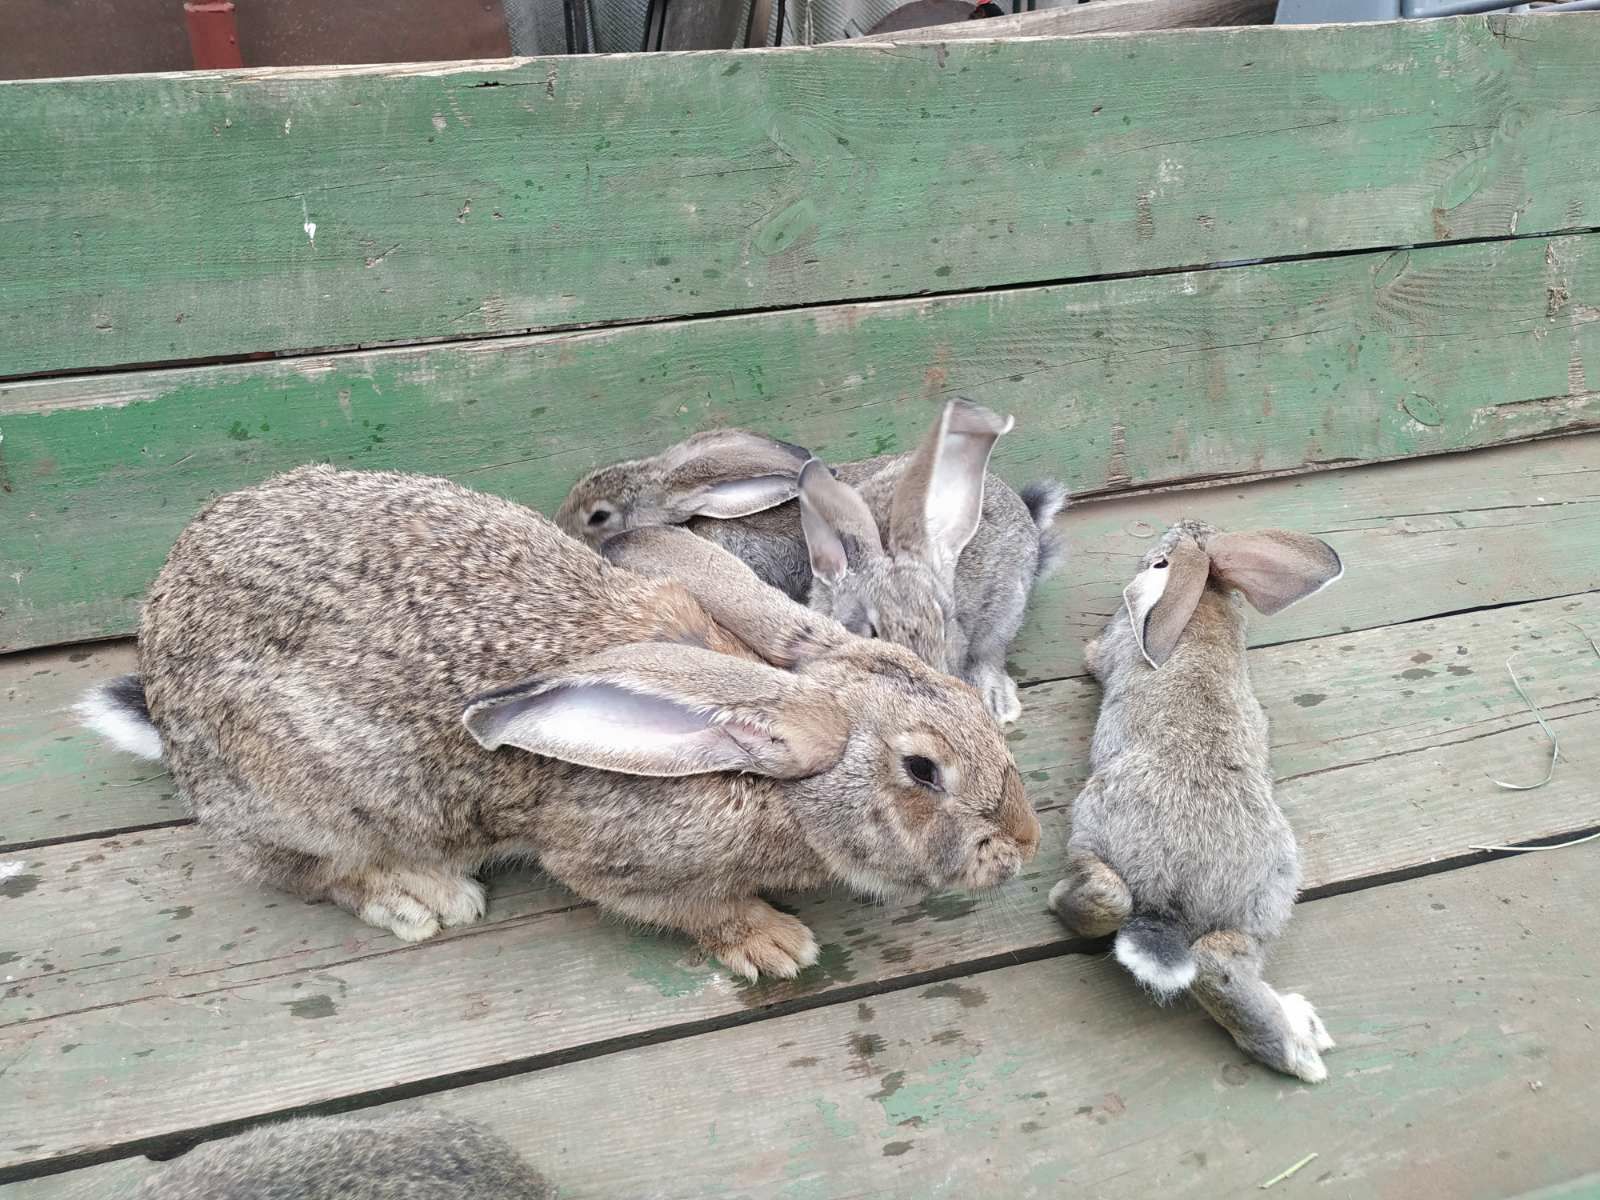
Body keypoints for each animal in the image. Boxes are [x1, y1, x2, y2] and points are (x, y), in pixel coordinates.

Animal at [78, 464, 1036, 979]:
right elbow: (690, 904)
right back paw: (419, 896)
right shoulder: (614, 858)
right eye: (922, 770)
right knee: (305, 872)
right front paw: (773, 942)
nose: (1024, 841)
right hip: (301, 800)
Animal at [1056, 521, 1344, 1088]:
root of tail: (1175, 899)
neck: (1202, 600)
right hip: (1265, 904)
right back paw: (1299, 1041)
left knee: (1114, 899)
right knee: (1226, 961)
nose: (1177, 527)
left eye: (1160, 561)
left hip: (1094, 824)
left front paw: (1087, 648)